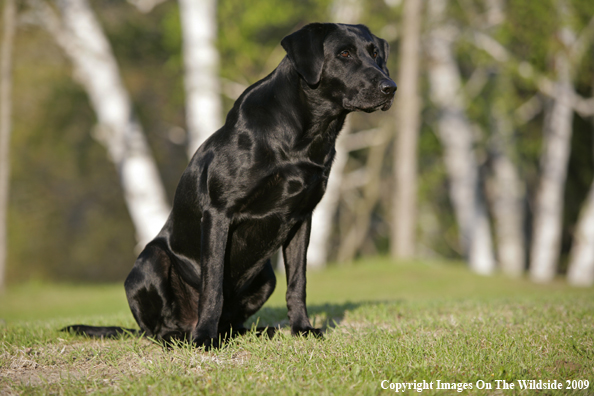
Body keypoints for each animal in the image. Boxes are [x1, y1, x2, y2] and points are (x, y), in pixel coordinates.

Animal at [65, 23, 396, 348]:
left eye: (375, 54)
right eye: (344, 54)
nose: (390, 88)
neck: (305, 134)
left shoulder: (303, 218)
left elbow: (298, 283)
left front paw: (302, 329)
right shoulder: (218, 213)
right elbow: (213, 285)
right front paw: (205, 339)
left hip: (265, 276)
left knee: (234, 323)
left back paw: (256, 332)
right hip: (150, 261)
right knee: (158, 330)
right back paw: (186, 336)